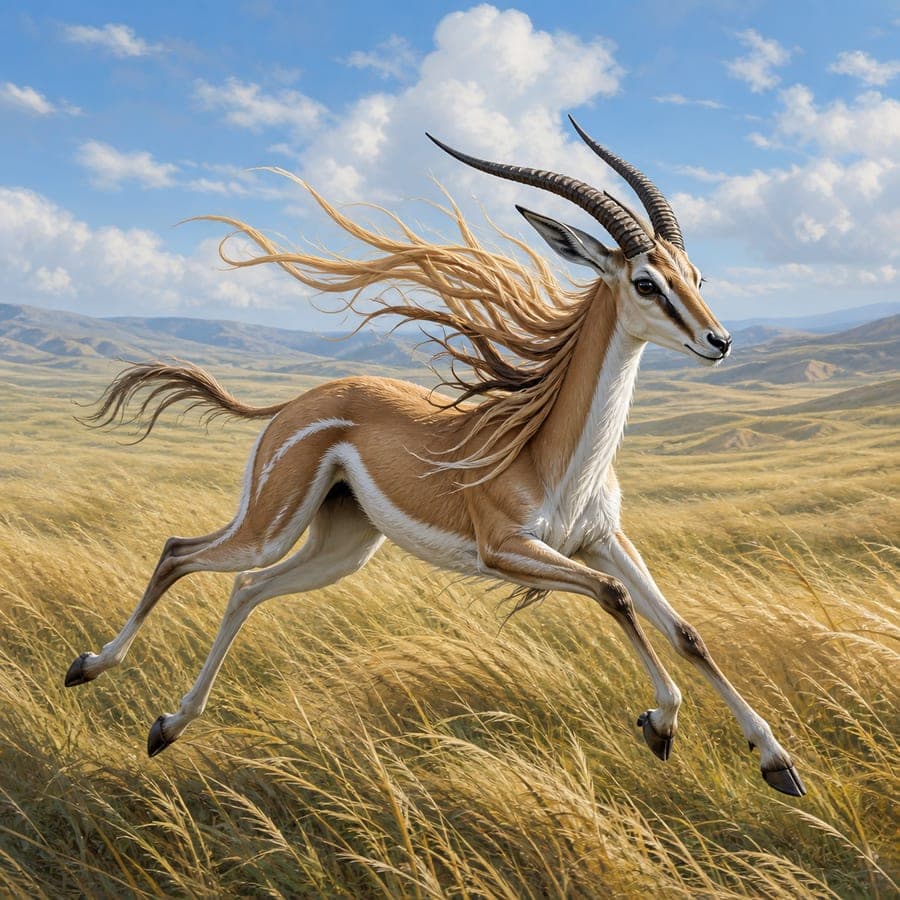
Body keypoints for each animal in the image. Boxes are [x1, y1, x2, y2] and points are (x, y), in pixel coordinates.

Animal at [64, 117, 805, 797]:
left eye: (696, 274)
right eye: (648, 283)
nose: (719, 341)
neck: (552, 458)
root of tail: (296, 403)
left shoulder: (601, 539)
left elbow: (686, 631)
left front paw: (777, 762)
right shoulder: (506, 548)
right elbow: (614, 596)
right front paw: (660, 723)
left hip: (342, 547)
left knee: (246, 587)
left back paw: (168, 727)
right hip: (271, 524)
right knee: (179, 552)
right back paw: (90, 670)